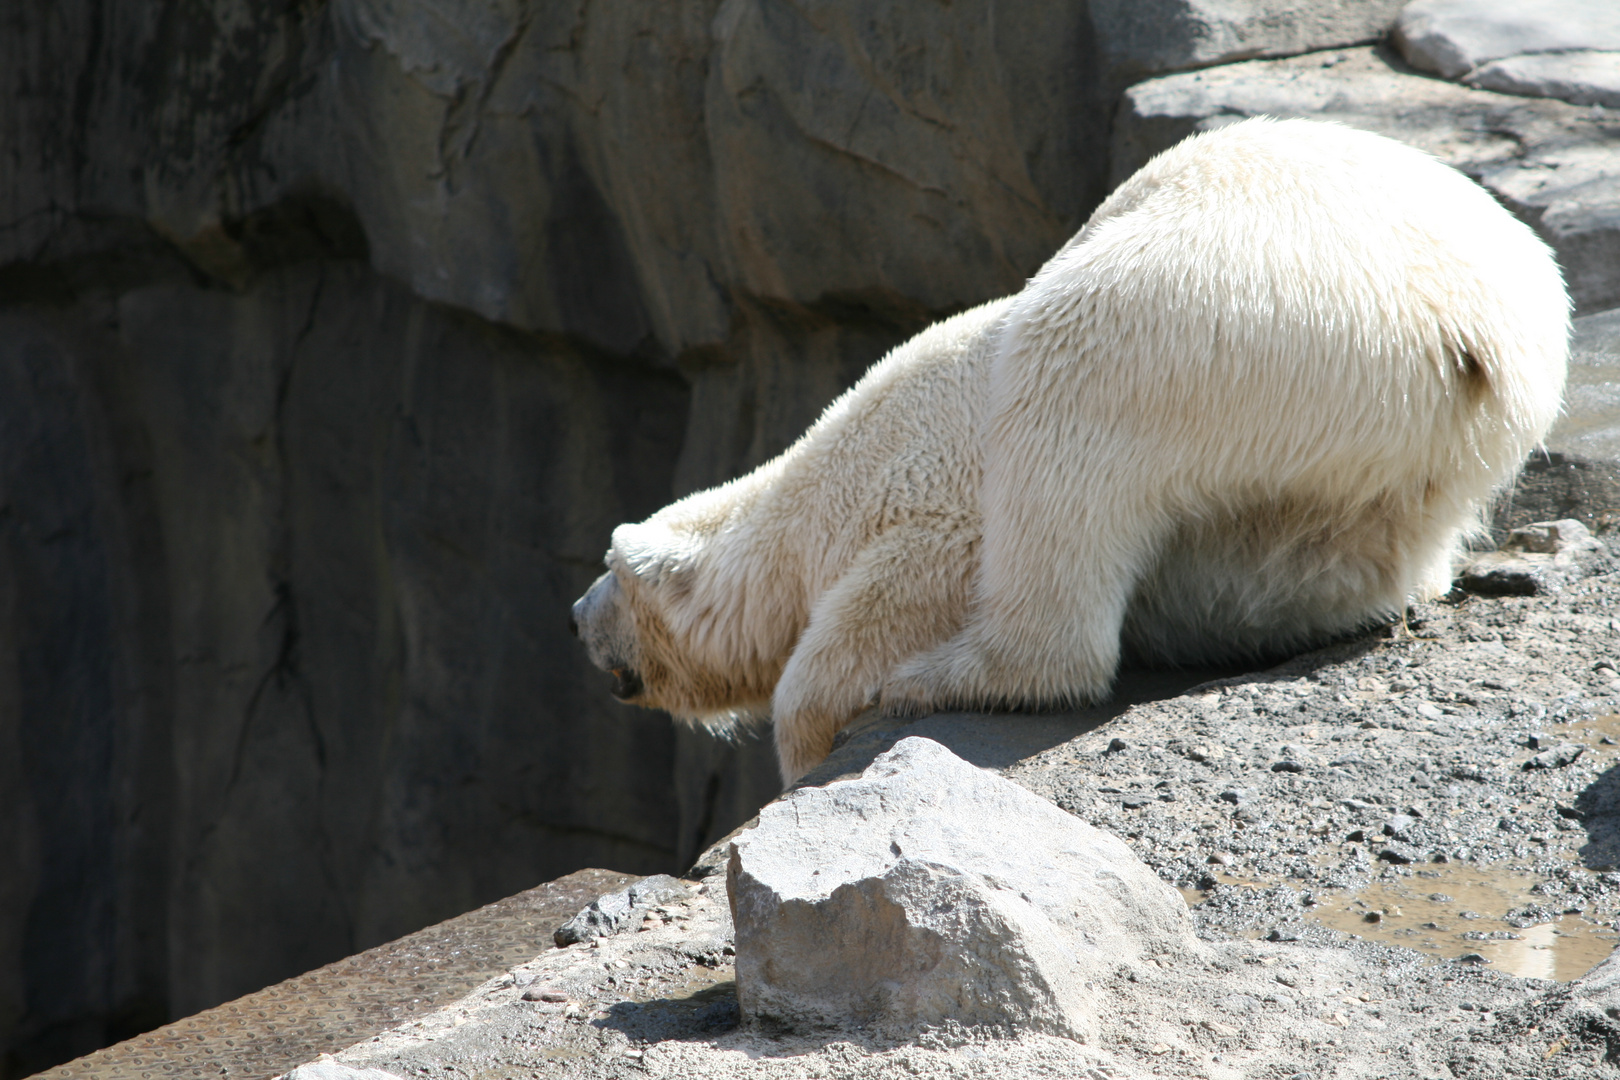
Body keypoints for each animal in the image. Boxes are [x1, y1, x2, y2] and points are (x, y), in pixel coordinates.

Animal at [573, 118, 1568, 780]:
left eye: (611, 570)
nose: (576, 616)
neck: (816, 489)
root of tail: (1472, 332)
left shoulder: (922, 504)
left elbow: (865, 624)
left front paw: (817, 727)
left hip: (1240, 311)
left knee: (1064, 384)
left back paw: (943, 677)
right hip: (1391, 438)